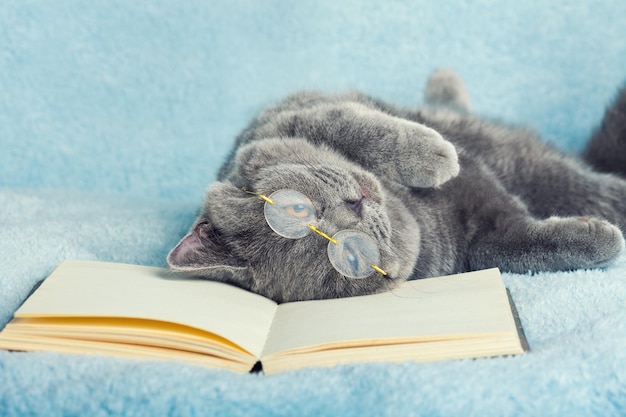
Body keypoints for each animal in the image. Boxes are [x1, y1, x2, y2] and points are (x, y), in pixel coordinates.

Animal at [167, 70, 624, 300]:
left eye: (296, 208)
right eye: (352, 257)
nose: (355, 204)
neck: (416, 210)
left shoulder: (285, 119)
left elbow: (351, 124)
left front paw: (433, 155)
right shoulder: (482, 241)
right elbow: (519, 246)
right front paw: (602, 239)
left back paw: (444, 85)